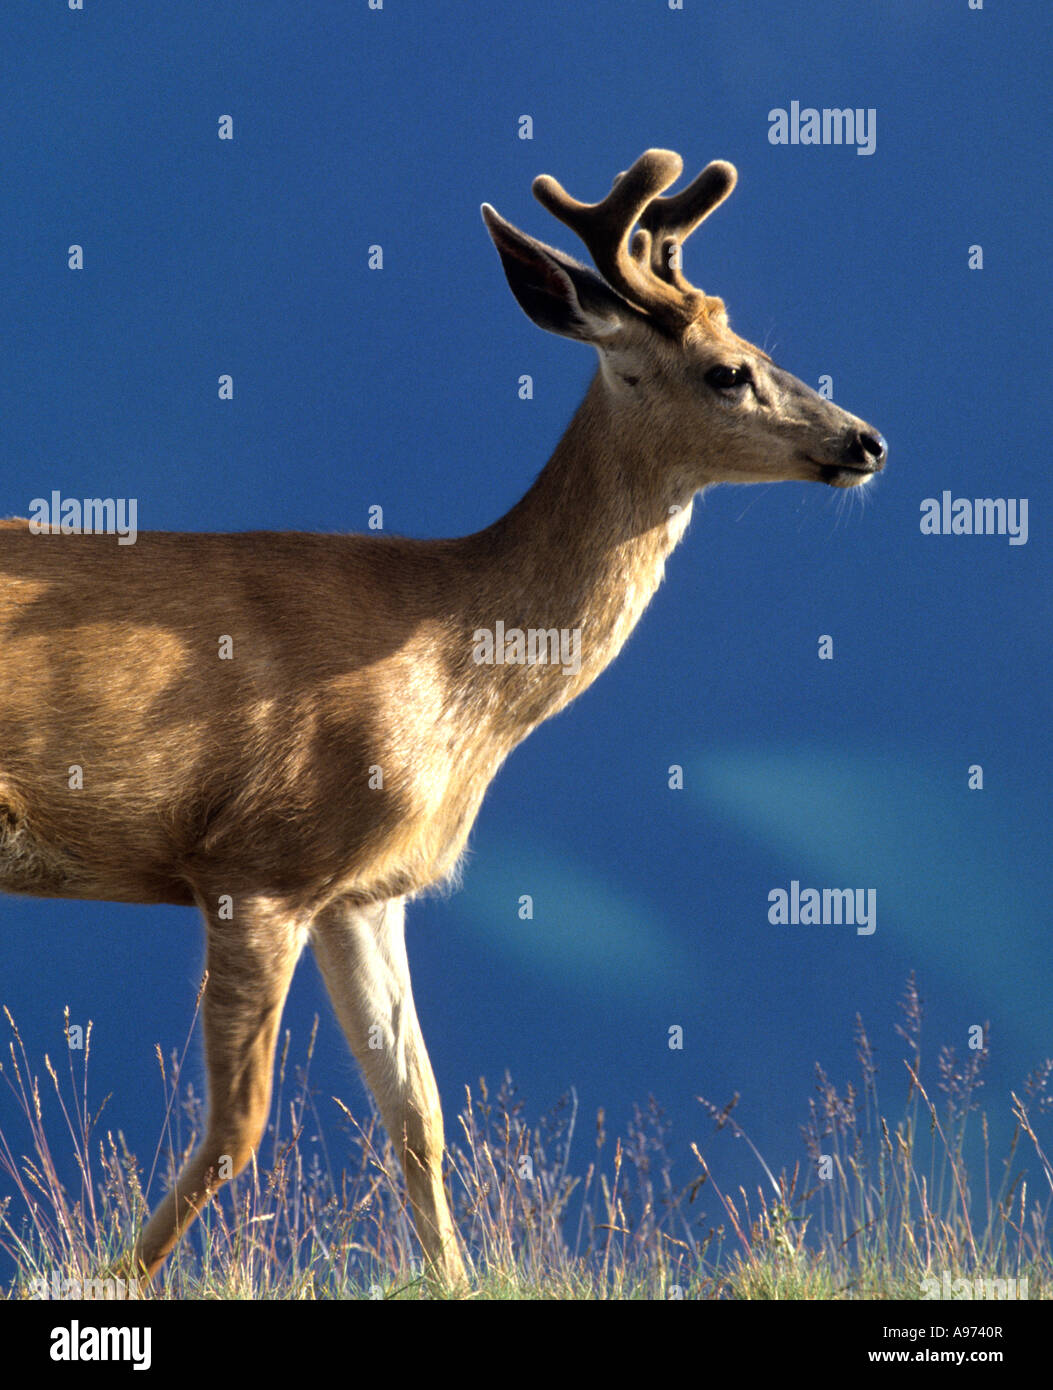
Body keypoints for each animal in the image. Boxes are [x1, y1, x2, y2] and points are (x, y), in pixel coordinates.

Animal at [0, 149, 885, 1290]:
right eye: (729, 369)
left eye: (763, 347)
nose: (865, 441)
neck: (451, 656)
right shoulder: (256, 861)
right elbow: (240, 1125)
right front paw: (101, 1279)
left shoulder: (363, 893)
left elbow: (417, 1114)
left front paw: (454, 1278)